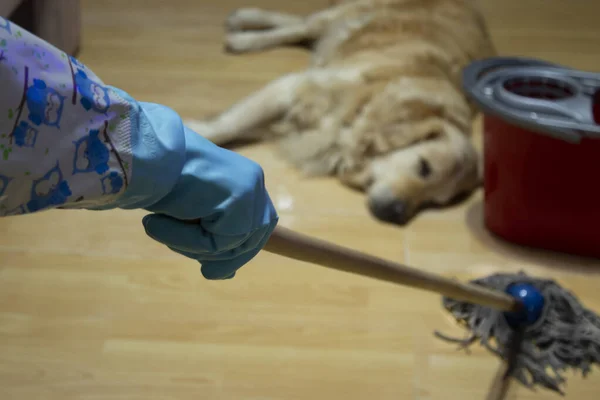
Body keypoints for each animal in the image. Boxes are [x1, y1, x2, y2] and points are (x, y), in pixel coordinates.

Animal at [186, 0, 496, 225]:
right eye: (423, 167)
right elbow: (227, 124)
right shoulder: (293, 88)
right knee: (301, 26)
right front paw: (195, 135)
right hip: (345, 14)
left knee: (302, 29)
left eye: (434, 202)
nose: (396, 216)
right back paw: (244, 33)